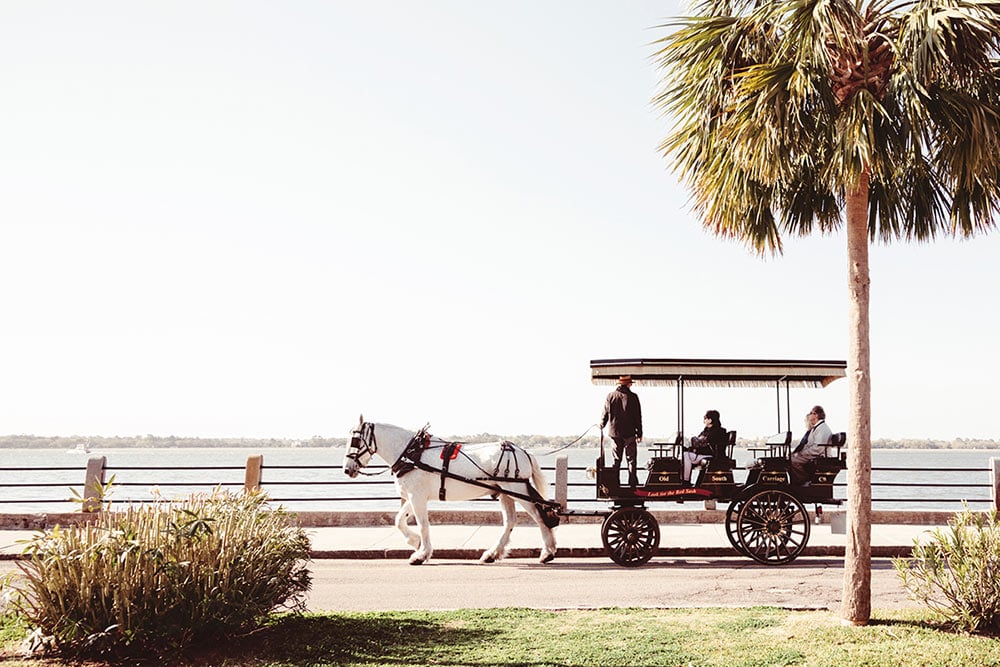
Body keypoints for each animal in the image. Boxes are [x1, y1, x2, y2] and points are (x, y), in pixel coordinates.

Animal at [344, 418, 560, 564]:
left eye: (355, 441)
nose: (347, 469)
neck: (412, 453)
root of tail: (523, 451)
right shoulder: (414, 496)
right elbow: (399, 520)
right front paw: (415, 542)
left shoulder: (417, 496)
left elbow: (423, 524)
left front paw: (422, 554)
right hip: (505, 492)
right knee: (510, 521)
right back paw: (492, 553)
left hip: (516, 487)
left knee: (539, 515)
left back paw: (547, 551)